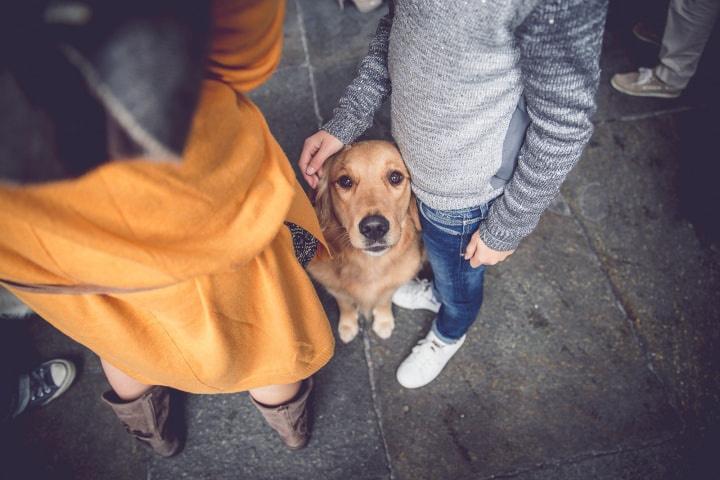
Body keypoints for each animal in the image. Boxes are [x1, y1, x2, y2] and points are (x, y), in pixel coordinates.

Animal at [308, 141, 422, 344]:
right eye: (345, 181)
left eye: (395, 177)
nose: (374, 227)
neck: (370, 264)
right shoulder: (334, 286)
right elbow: (345, 303)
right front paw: (347, 325)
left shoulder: (392, 284)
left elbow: (384, 299)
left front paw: (384, 320)